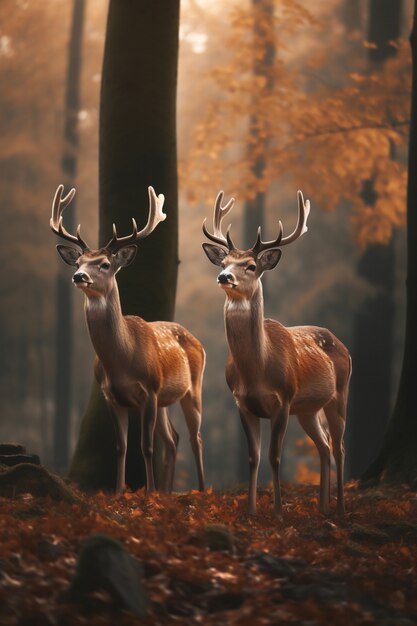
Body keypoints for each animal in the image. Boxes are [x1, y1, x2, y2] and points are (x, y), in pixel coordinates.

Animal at [50, 183, 205, 494]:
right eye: (79, 261)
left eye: (105, 264)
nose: (79, 276)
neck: (122, 360)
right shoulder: (111, 396)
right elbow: (120, 447)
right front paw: (120, 491)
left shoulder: (150, 390)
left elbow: (145, 446)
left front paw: (148, 492)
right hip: (166, 399)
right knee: (174, 439)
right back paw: (167, 492)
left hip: (192, 388)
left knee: (195, 438)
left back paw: (202, 489)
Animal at [202, 191, 352, 516]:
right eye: (225, 262)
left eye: (250, 266)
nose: (224, 276)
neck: (257, 369)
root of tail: (342, 344)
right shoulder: (242, 403)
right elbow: (253, 457)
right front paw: (250, 510)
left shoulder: (283, 399)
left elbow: (275, 456)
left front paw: (279, 511)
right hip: (308, 409)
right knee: (323, 446)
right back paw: (323, 507)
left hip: (340, 394)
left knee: (339, 446)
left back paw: (341, 508)